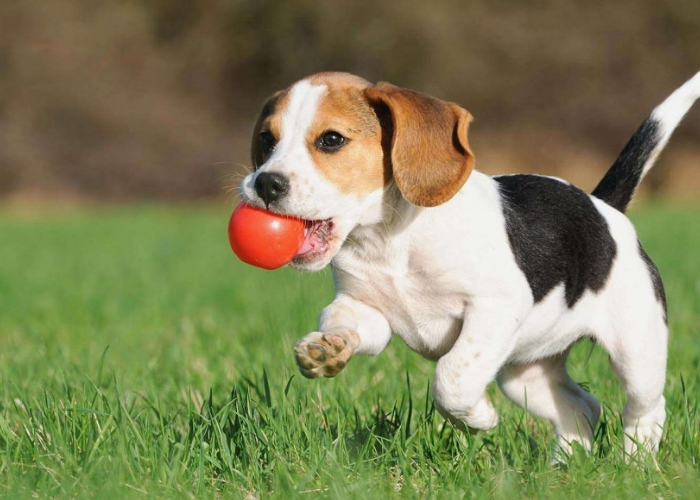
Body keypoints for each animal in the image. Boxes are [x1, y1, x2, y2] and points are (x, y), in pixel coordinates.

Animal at [241, 70, 700, 458]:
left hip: (636, 351)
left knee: (646, 409)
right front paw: (327, 349)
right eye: (266, 139)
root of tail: (604, 207)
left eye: (332, 140)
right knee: (582, 407)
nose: (265, 183)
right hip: (524, 374)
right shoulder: (366, 310)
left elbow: (452, 378)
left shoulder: (494, 308)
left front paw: (479, 418)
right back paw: (565, 467)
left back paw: (635, 464)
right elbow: (343, 322)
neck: (389, 239)